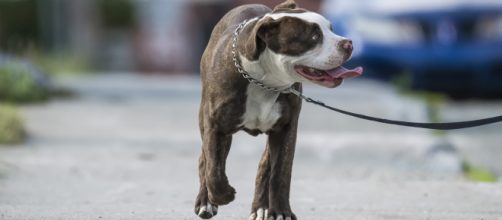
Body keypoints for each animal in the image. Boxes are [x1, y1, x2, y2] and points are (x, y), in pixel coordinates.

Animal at [194, 0, 362, 219]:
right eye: (314, 37)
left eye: (331, 29)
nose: (348, 43)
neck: (264, 82)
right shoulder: (216, 127)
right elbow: (214, 167)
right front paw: (223, 195)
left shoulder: (286, 130)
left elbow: (281, 172)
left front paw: (281, 211)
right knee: (206, 160)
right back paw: (206, 202)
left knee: (265, 165)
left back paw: (261, 207)